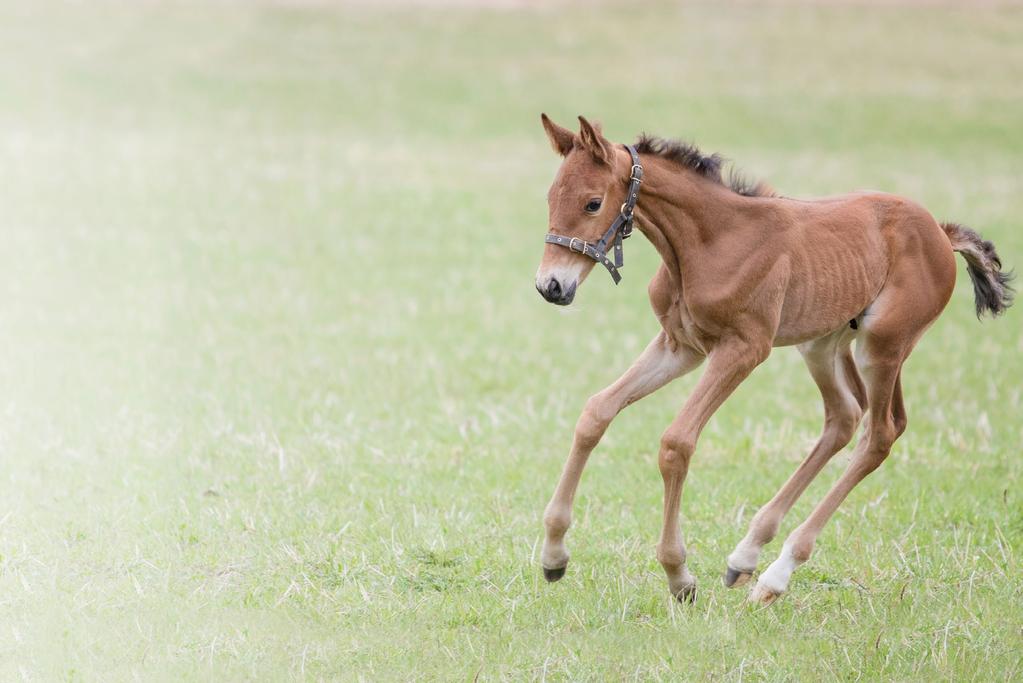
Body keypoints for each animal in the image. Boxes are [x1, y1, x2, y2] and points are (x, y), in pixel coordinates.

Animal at [536, 114, 1014, 605]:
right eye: (550, 198)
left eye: (593, 203)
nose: (551, 286)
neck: (710, 242)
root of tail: (941, 231)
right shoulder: (681, 345)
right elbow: (596, 412)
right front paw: (553, 555)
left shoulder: (745, 348)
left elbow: (677, 442)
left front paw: (678, 574)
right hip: (824, 343)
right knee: (845, 416)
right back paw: (746, 555)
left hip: (884, 344)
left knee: (881, 432)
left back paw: (775, 575)